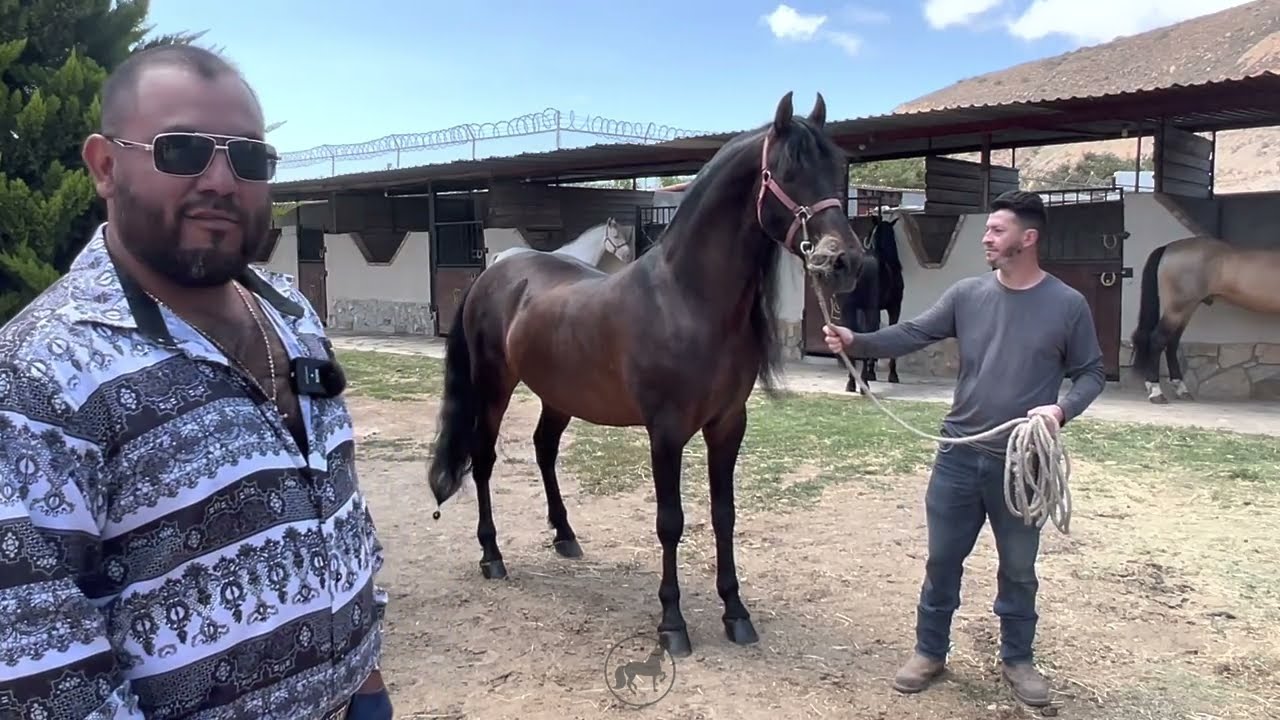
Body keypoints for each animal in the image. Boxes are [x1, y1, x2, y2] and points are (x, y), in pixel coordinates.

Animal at [838, 212, 905, 393]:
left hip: (848, 309)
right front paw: (892, 375)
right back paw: (863, 384)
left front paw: (871, 372)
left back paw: (852, 382)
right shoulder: (894, 308)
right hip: (870, 309)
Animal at [1130, 234, 1280, 403]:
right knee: (1158, 340)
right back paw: (1157, 392)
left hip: (1186, 310)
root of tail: (1169, 247)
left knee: (1172, 343)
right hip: (1177, 308)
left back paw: (1181, 389)